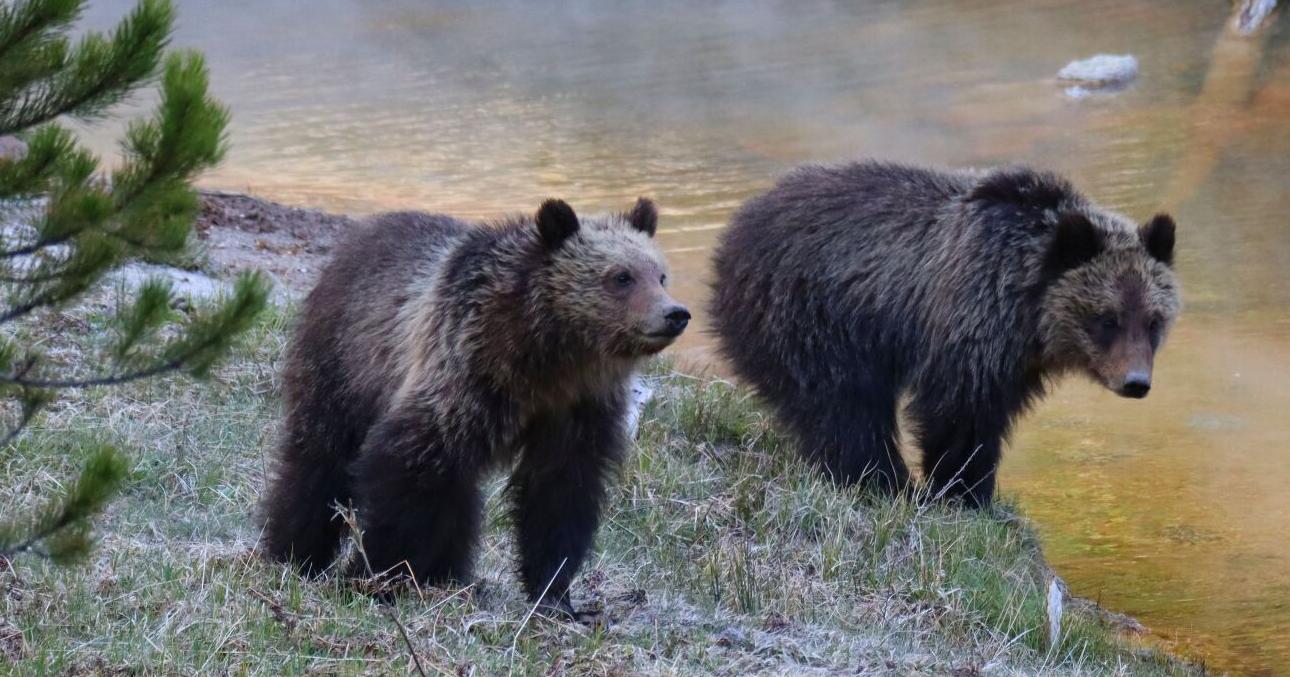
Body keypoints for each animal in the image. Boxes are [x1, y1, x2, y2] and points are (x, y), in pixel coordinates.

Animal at [259, 198, 689, 615]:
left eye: (660, 274)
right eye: (621, 276)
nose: (675, 313)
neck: (550, 355)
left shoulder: (577, 409)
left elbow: (560, 493)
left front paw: (555, 595)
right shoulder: (466, 372)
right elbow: (406, 471)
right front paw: (373, 576)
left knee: (458, 495)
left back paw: (448, 575)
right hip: (345, 361)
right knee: (320, 460)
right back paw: (294, 552)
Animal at [709, 161, 1180, 507]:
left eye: (1153, 320)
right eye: (1107, 318)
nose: (1136, 382)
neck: (1026, 312)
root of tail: (736, 227)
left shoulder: (1013, 360)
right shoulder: (969, 319)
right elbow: (959, 413)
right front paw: (962, 492)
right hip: (811, 314)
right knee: (843, 404)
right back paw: (881, 481)